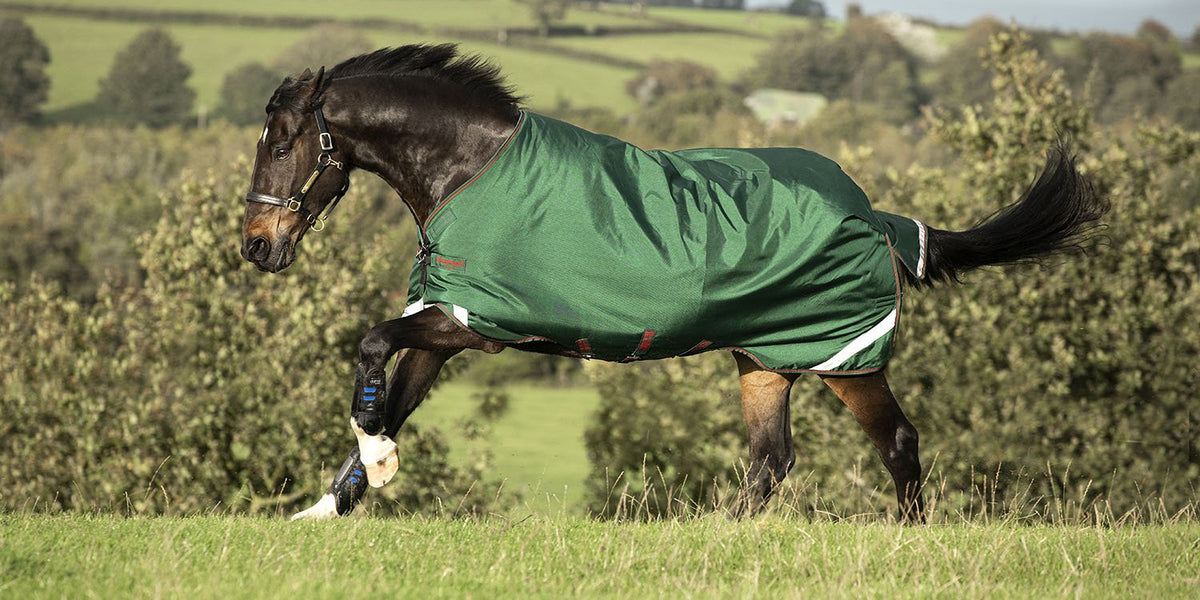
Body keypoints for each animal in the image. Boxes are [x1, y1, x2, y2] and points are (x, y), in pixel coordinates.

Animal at [239, 44, 1104, 523]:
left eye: (281, 144)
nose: (256, 246)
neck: (470, 170)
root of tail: (874, 215)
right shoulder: (447, 323)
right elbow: (391, 403)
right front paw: (324, 509)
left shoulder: (469, 324)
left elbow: (370, 348)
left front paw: (374, 470)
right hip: (764, 361)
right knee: (769, 463)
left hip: (846, 359)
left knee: (897, 443)